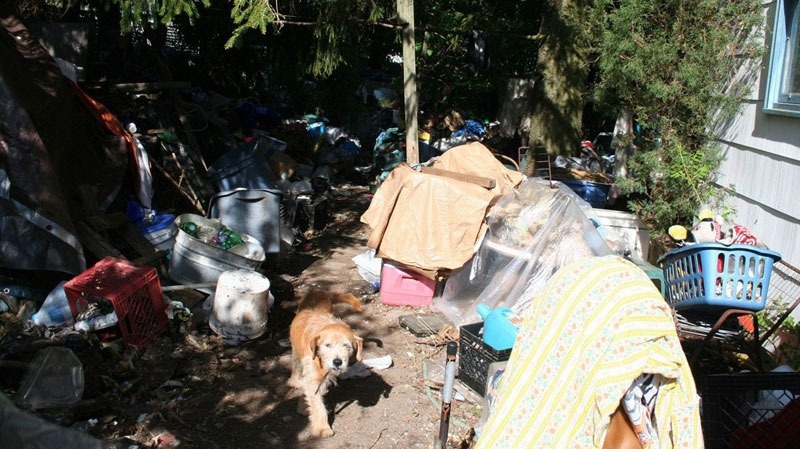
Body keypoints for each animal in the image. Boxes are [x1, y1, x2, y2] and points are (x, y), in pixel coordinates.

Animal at [288, 288, 362, 436]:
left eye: (346, 346)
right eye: (327, 345)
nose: (337, 362)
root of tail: (318, 291)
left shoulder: (320, 377)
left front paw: (303, 405)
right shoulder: (312, 376)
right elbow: (317, 404)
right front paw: (322, 428)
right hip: (295, 351)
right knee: (296, 364)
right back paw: (294, 380)